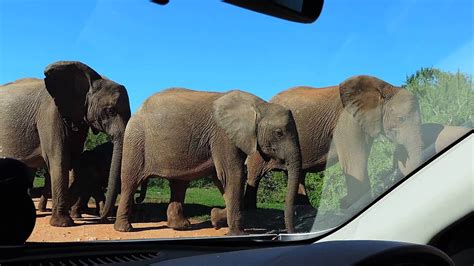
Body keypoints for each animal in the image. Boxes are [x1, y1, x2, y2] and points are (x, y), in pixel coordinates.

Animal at [0, 61, 131, 227]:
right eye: (110, 111)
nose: (103, 218)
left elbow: (72, 161)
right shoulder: (50, 114)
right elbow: (60, 159)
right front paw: (63, 223)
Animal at [109, 88, 302, 234]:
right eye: (279, 133)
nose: (292, 232)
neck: (259, 105)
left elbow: (223, 179)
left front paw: (216, 217)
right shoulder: (223, 136)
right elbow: (232, 175)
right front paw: (236, 233)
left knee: (179, 184)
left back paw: (181, 227)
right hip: (135, 142)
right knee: (130, 182)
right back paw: (124, 229)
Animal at [244, 76, 422, 211]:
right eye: (401, 119)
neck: (384, 87)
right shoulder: (346, 122)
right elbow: (355, 162)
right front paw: (350, 204)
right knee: (254, 171)